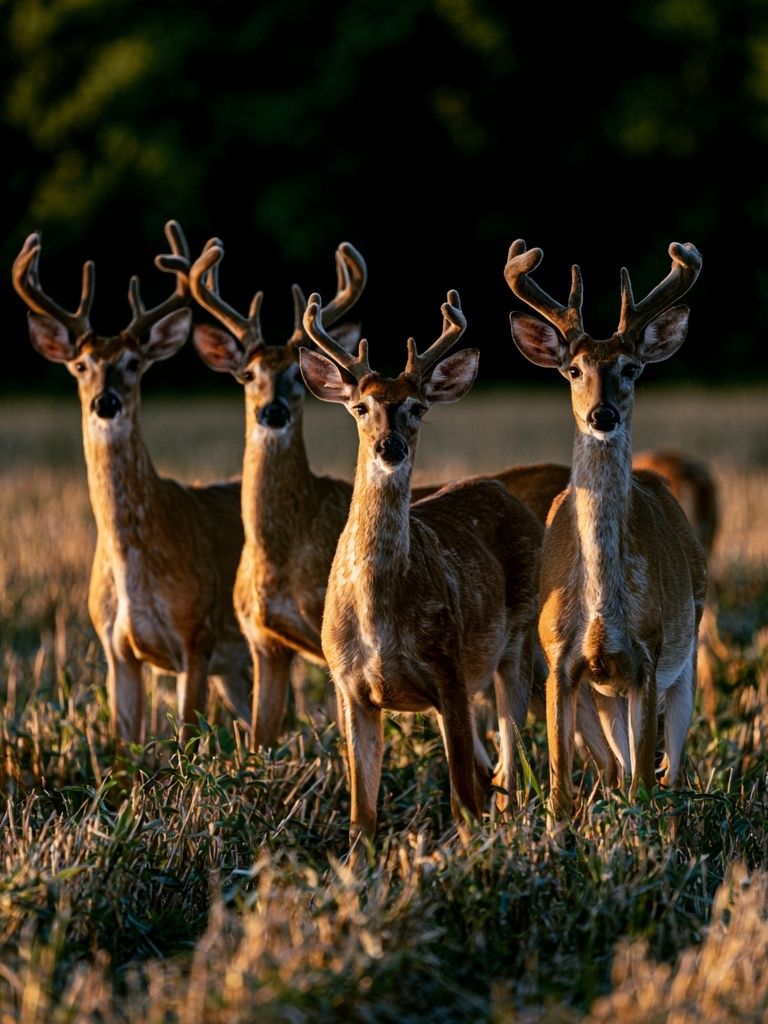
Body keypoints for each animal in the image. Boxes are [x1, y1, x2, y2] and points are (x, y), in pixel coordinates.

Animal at [12, 222, 252, 747]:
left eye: (134, 363)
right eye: (81, 365)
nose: (106, 402)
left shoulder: (196, 638)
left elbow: (188, 741)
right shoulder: (115, 649)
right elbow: (124, 748)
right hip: (238, 667)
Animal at [299, 287, 544, 858]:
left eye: (417, 407)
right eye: (360, 406)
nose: (390, 446)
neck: (378, 618)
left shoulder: (448, 671)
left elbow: (463, 805)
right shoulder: (349, 687)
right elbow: (361, 817)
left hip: (517, 642)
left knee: (510, 769)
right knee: (493, 771)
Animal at [503, 238, 709, 825]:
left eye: (632, 368)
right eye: (573, 370)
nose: (602, 414)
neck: (601, 605)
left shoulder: (648, 658)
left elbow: (646, 785)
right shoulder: (559, 662)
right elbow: (559, 789)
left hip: (684, 659)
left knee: (669, 774)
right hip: (602, 696)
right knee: (617, 770)